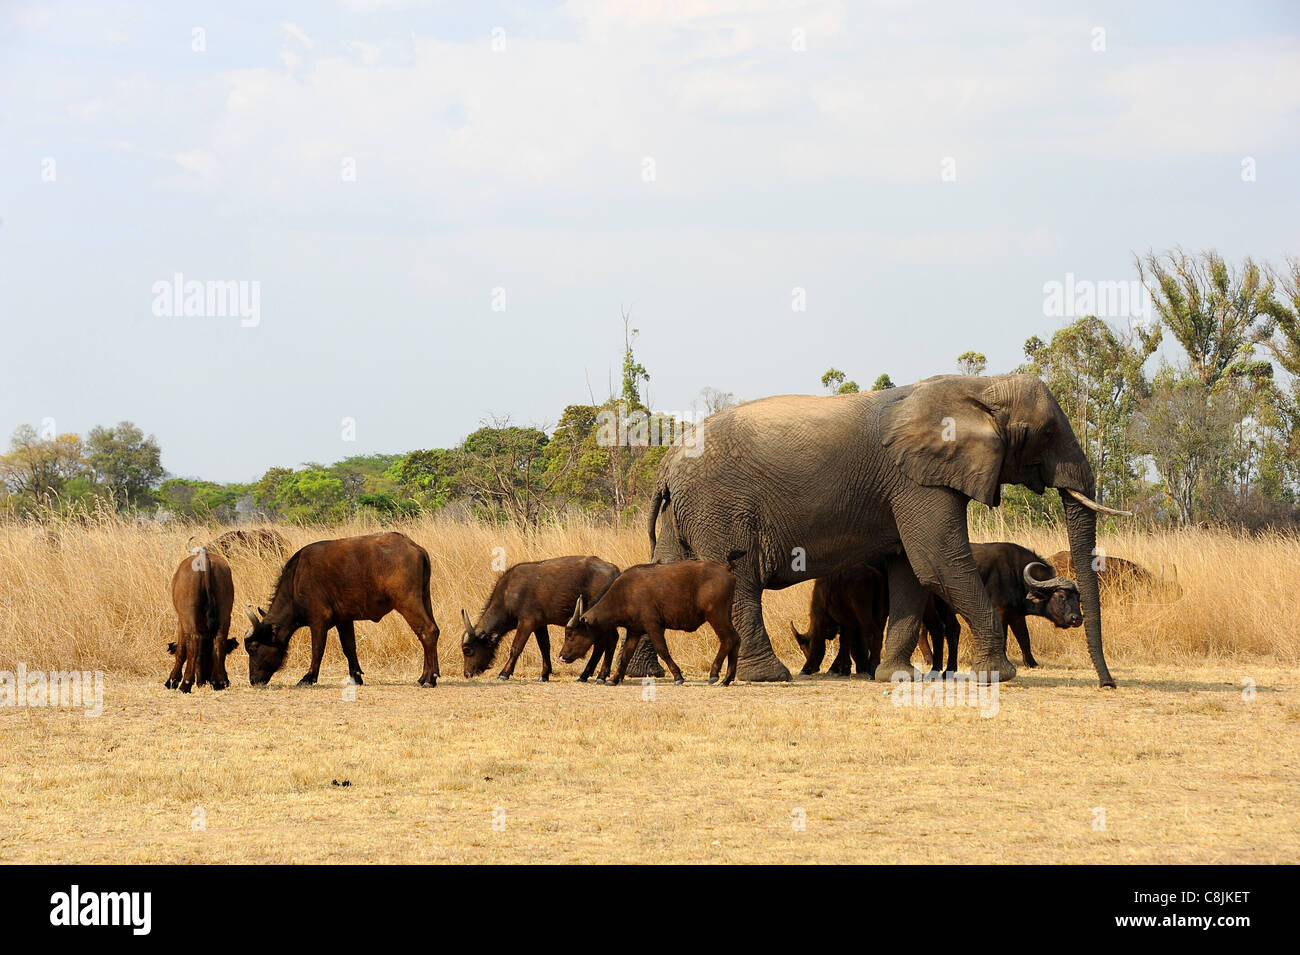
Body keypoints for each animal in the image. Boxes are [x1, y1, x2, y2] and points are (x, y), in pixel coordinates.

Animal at [165, 545, 236, 696]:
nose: (203, 680)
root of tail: (205, 558)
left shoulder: (180, 621)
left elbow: (181, 650)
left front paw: (173, 680)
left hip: (188, 617)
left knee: (193, 640)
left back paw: (185, 684)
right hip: (225, 614)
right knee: (219, 640)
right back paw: (218, 682)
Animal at [244, 530, 441, 686]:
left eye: (253, 648)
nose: (253, 680)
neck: (296, 580)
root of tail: (414, 546)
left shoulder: (318, 621)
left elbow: (317, 649)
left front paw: (308, 677)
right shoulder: (344, 620)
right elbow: (349, 647)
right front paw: (356, 677)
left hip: (408, 602)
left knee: (427, 631)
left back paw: (427, 679)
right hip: (425, 598)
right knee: (434, 630)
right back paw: (430, 676)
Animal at [462, 556, 624, 686]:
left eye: (467, 650)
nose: (467, 674)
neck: (508, 595)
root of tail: (616, 572)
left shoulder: (527, 622)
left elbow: (516, 647)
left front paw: (504, 673)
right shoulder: (540, 625)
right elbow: (544, 647)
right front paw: (544, 674)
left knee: (608, 641)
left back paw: (600, 676)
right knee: (604, 642)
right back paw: (587, 675)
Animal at [556, 553, 743, 686]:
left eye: (570, 634)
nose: (562, 656)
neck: (625, 593)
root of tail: (726, 568)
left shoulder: (654, 626)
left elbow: (662, 650)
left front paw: (678, 676)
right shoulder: (634, 631)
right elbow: (626, 655)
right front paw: (614, 679)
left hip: (716, 615)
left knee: (728, 639)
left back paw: (714, 674)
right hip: (725, 615)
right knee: (736, 639)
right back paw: (727, 679)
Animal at [642, 374, 1128, 686]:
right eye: (1046, 432)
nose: (1108, 685)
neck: (977, 388)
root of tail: (666, 465)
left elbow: (911, 572)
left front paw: (898, 677)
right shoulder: (918, 480)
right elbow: (938, 562)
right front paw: (997, 675)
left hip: (687, 513)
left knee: (665, 569)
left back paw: (646, 675)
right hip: (722, 508)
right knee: (740, 582)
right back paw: (769, 676)